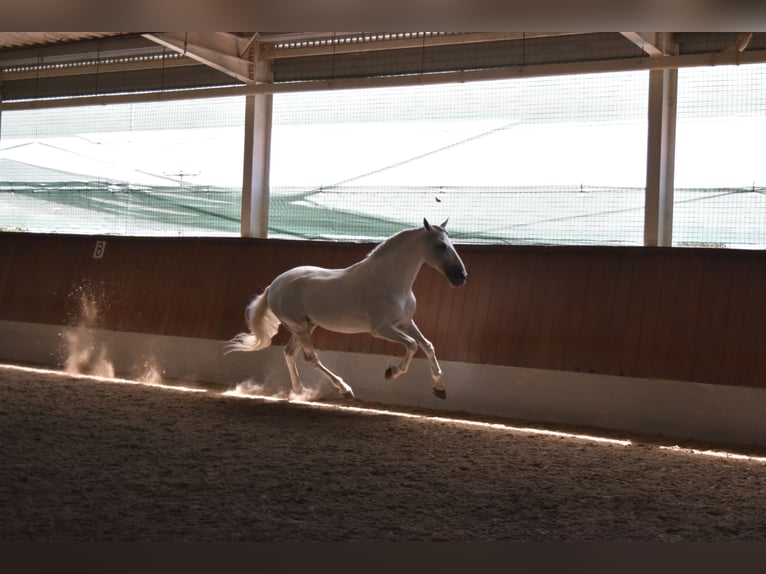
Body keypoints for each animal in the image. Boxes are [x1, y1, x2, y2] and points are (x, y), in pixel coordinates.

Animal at [226, 218, 468, 402]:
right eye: (440, 245)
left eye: (450, 243)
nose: (461, 276)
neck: (388, 282)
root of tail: (273, 286)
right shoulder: (381, 329)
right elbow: (412, 345)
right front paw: (391, 373)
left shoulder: (405, 322)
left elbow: (427, 346)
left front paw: (440, 388)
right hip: (299, 327)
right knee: (310, 358)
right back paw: (344, 390)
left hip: (306, 325)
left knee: (290, 353)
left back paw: (300, 391)